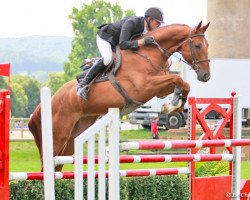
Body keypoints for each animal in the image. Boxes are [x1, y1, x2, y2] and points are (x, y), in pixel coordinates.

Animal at [28, 21, 210, 171]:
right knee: (47, 165)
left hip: (77, 132)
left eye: (207, 45)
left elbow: (182, 83)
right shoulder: (145, 87)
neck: (149, 52)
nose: (206, 76)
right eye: (198, 45)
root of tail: (48, 102)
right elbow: (177, 79)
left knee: (58, 164)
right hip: (58, 134)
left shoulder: (159, 89)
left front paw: (173, 104)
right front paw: (171, 106)